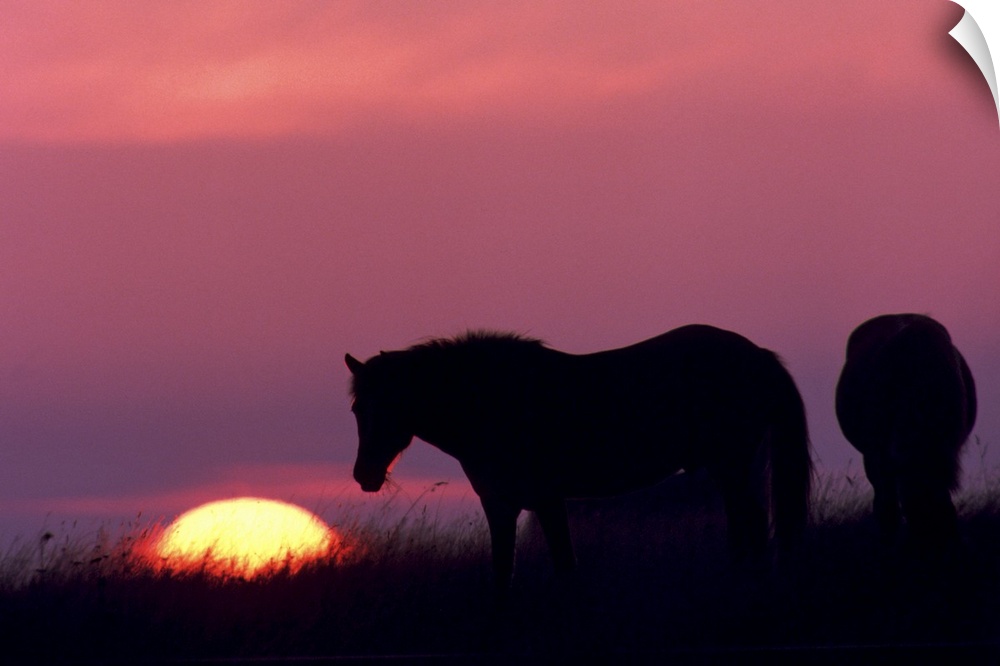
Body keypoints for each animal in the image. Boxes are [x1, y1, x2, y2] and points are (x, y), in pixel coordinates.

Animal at [344, 326, 812, 592]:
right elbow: (502, 573)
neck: (497, 399)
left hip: (732, 466)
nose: (364, 475)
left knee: (754, 526)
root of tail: (759, 356)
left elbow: (565, 569)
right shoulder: (501, 505)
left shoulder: (547, 501)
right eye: (357, 409)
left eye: (389, 405)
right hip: (729, 471)